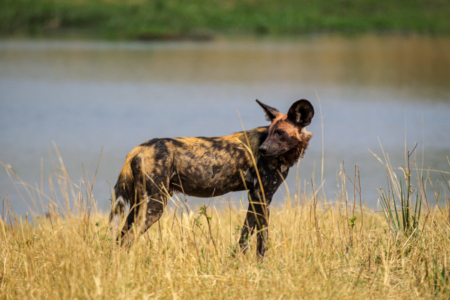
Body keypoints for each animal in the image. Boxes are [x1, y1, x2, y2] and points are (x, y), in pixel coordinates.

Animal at [112, 99, 312, 256]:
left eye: (280, 133)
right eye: (271, 132)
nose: (263, 149)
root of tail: (139, 148)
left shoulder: (254, 198)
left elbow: (244, 237)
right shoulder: (262, 196)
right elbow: (261, 240)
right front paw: (260, 267)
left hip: (138, 205)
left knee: (119, 238)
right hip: (155, 205)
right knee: (128, 239)